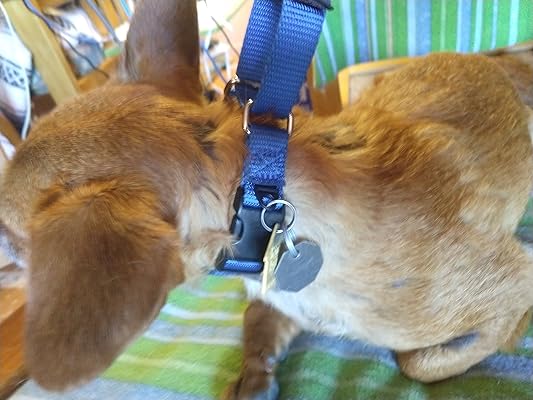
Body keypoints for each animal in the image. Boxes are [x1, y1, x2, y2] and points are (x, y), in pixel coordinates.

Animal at [1, 1, 533, 398]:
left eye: (10, 238)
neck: (261, 196)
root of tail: (493, 60)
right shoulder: (272, 295)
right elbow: (256, 320)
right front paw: (254, 377)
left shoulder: (517, 279)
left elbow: (419, 362)